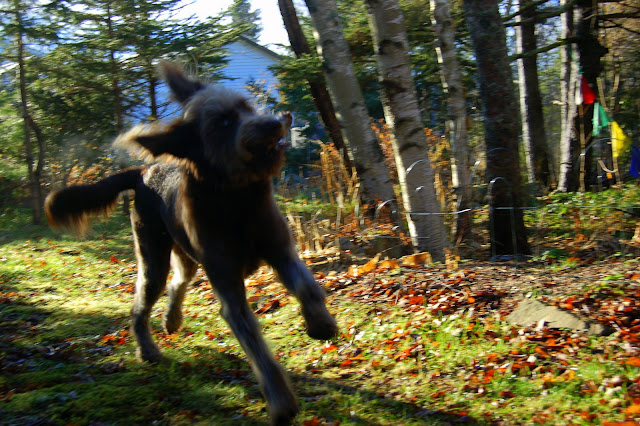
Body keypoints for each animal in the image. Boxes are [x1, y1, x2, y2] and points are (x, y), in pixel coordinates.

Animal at [45, 62, 339, 425]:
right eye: (223, 123)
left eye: (246, 106)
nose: (276, 121)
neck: (236, 199)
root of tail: (143, 172)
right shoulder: (228, 285)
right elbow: (255, 344)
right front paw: (281, 401)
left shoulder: (281, 251)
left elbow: (307, 287)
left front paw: (321, 324)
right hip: (153, 257)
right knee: (141, 305)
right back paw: (148, 351)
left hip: (184, 255)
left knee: (179, 281)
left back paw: (171, 320)